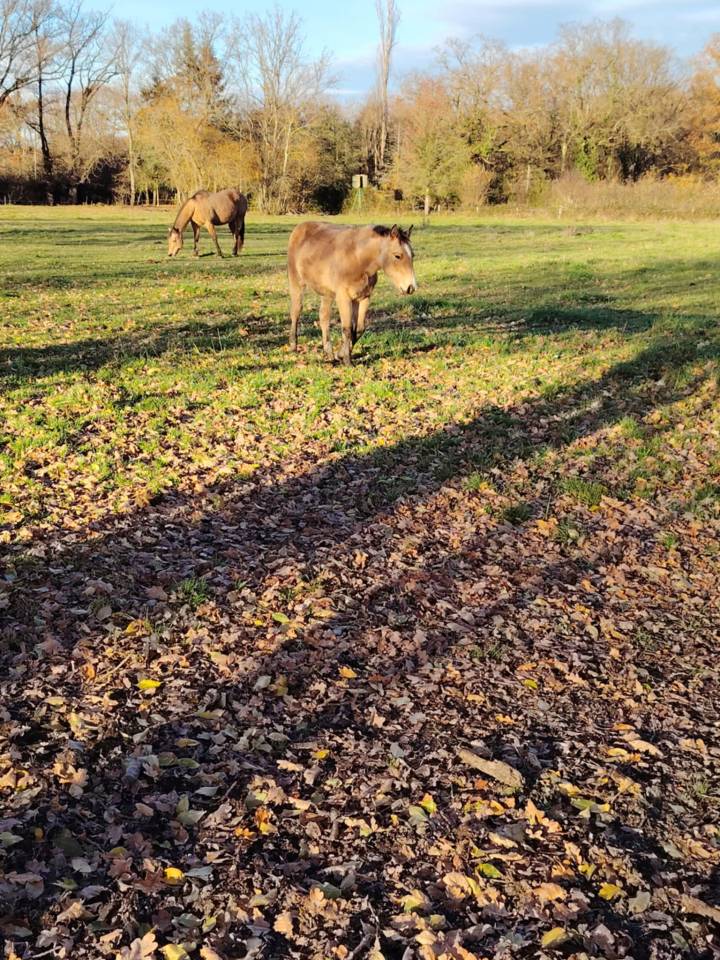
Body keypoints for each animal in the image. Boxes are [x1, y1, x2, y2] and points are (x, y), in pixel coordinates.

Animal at [287, 222, 417, 365]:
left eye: (412, 255)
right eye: (397, 256)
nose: (411, 288)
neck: (358, 259)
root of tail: (300, 227)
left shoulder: (364, 298)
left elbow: (358, 329)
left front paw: (340, 355)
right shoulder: (344, 298)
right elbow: (347, 328)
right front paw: (347, 361)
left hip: (327, 293)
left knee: (324, 317)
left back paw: (329, 353)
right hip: (296, 282)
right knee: (296, 312)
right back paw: (293, 346)